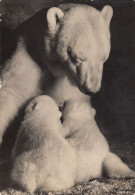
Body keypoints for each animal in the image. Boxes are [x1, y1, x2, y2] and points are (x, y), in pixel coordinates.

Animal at [0, 3, 134, 180]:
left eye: (104, 58)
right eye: (79, 57)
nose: (92, 89)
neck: (51, 63)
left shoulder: (70, 81)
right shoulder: (26, 56)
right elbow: (11, 89)